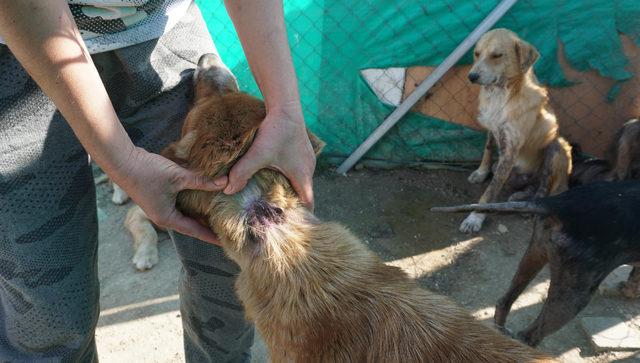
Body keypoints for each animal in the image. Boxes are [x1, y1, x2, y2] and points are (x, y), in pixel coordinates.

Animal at [432, 182, 640, 346]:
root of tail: (557, 203)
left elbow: (634, 277)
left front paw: (628, 290)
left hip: (534, 255)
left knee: (503, 303)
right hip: (576, 293)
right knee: (530, 336)